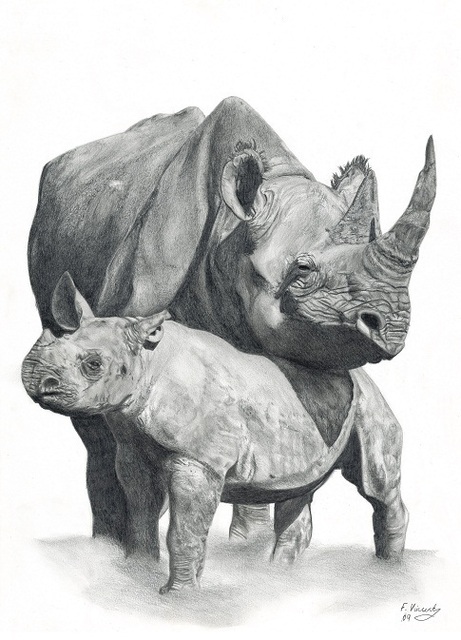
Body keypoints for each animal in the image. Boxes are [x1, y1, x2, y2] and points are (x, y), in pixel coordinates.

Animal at [22, 274, 409, 591]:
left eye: (94, 365)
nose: (35, 381)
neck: (148, 361)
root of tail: (365, 377)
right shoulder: (133, 448)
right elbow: (141, 512)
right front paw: (136, 573)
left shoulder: (199, 459)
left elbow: (184, 531)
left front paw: (178, 597)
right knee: (298, 491)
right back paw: (279, 577)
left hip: (368, 404)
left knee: (376, 484)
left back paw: (386, 572)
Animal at [27, 97, 436, 547]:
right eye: (303, 270)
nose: (392, 323)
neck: (231, 237)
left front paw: (248, 552)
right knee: (92, 431)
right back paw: (105, 545)